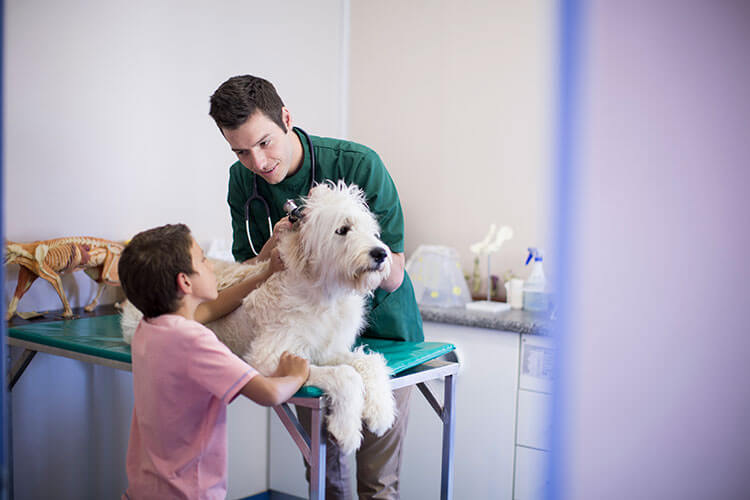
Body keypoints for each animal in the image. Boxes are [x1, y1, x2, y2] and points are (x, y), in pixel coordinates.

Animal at [120, 182, 396, 456]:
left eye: (371, 231)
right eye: (342, 229)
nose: (381, 254)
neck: (324, 293)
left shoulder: (326, 350)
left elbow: (369, 362)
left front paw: (380, 412)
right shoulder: (268, 360)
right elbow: (345, 375)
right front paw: (347, 430)